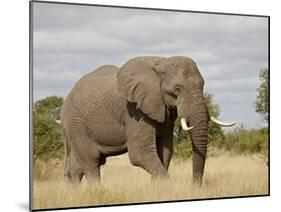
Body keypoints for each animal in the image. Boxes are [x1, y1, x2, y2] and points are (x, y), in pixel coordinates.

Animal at [59, 55, 234, 185]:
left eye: (203, 85)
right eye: (177, 89)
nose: (194, 186)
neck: (162, 62)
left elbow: (165, 150)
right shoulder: (135, 110)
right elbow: (140, 153)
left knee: (77, 166)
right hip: (76, 122)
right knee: (91, 161)